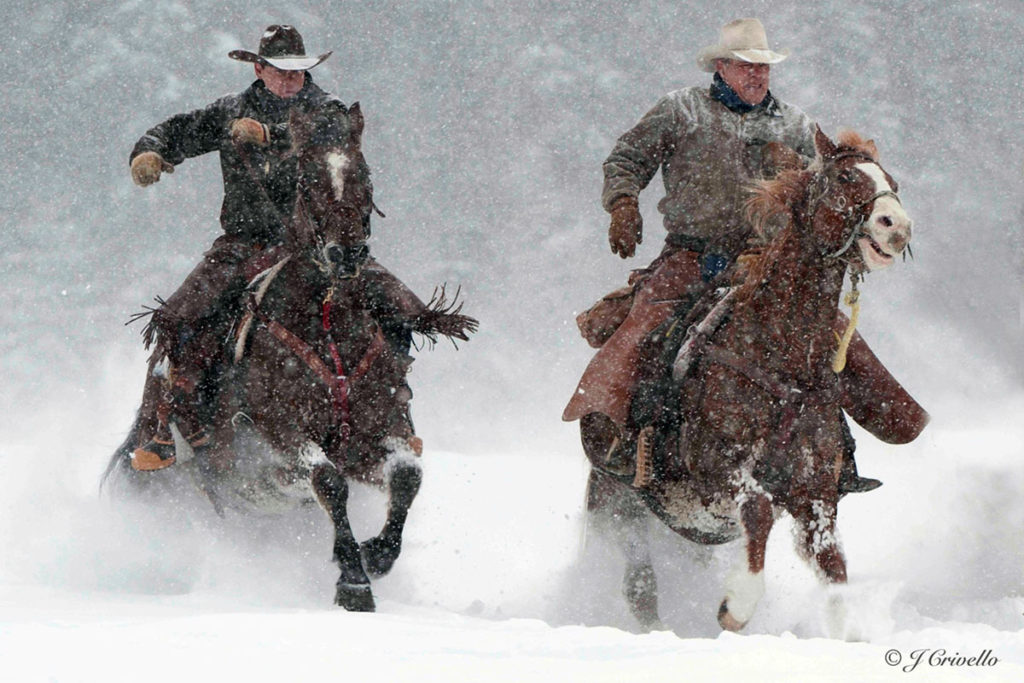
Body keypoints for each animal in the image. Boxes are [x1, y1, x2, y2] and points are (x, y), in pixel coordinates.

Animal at [103, 98, 475, 610]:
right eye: (307, 179)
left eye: (365, 174)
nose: (347, 254)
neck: (327, 322)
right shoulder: (277, 441)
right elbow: (329, 482)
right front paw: (353, 582)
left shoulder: (380, 429)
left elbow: (407, 474)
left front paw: (375, 555)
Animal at [581, 126, 917, 630]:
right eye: (844, 177)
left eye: (890, 180)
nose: (896, 227)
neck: (782, 358)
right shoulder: (718, 471)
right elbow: (757, 512)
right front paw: (736, 605)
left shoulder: (816, 494)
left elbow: (834, 570)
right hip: (618, 505)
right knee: (639, 582)